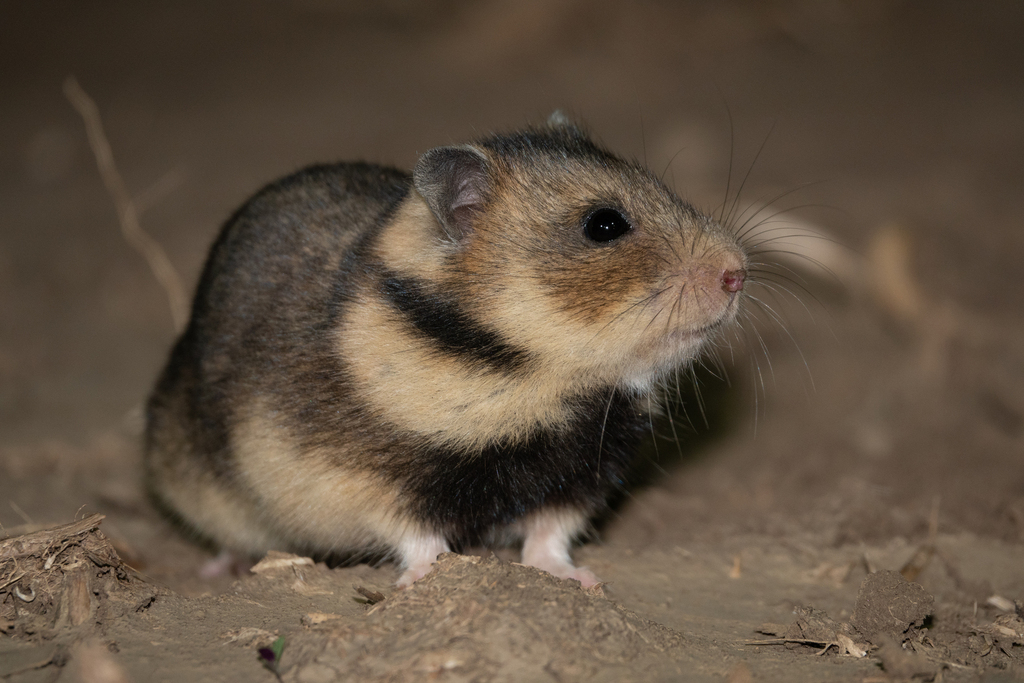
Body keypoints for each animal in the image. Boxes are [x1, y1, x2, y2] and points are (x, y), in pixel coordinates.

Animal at [144, 115, 747, 587]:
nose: (738, 273)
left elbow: (549, 536)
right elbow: (417, 538)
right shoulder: (367, 482)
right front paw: (428, 581)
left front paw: (578, 578)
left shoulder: (582, 475)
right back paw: (222, 568)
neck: (532, 372)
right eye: (603, 224)